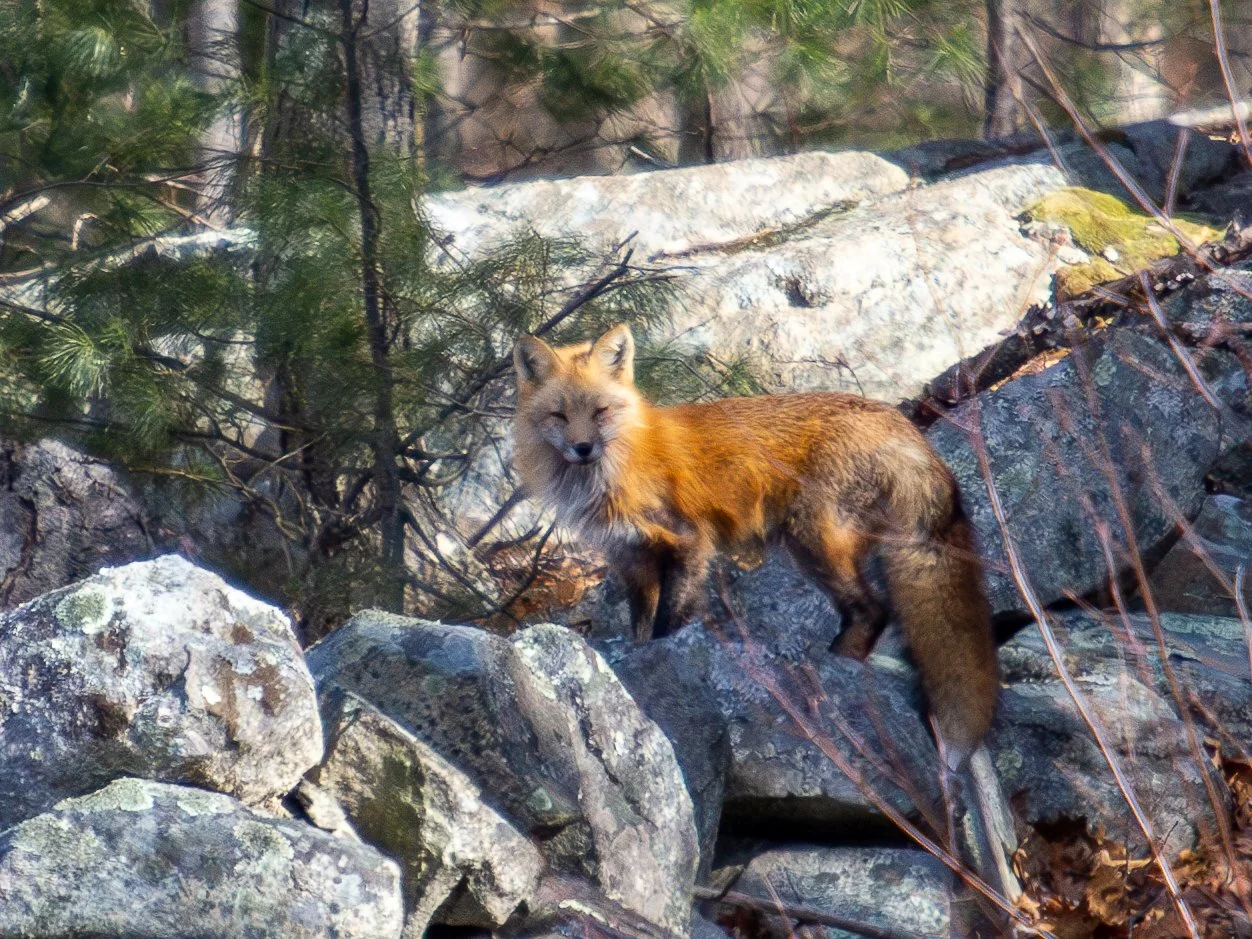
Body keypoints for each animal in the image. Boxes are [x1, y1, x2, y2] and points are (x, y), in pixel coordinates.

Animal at [511, 323, 998, 764]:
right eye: (558, 416)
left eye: (600, 411)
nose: (583, 448)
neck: (615, 469)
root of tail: (900, 422)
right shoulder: (632, 559)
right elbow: (641, 629)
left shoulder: (690, 542)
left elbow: (669, 623)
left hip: (812, 542)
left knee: (873, 610)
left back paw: (832, 678)